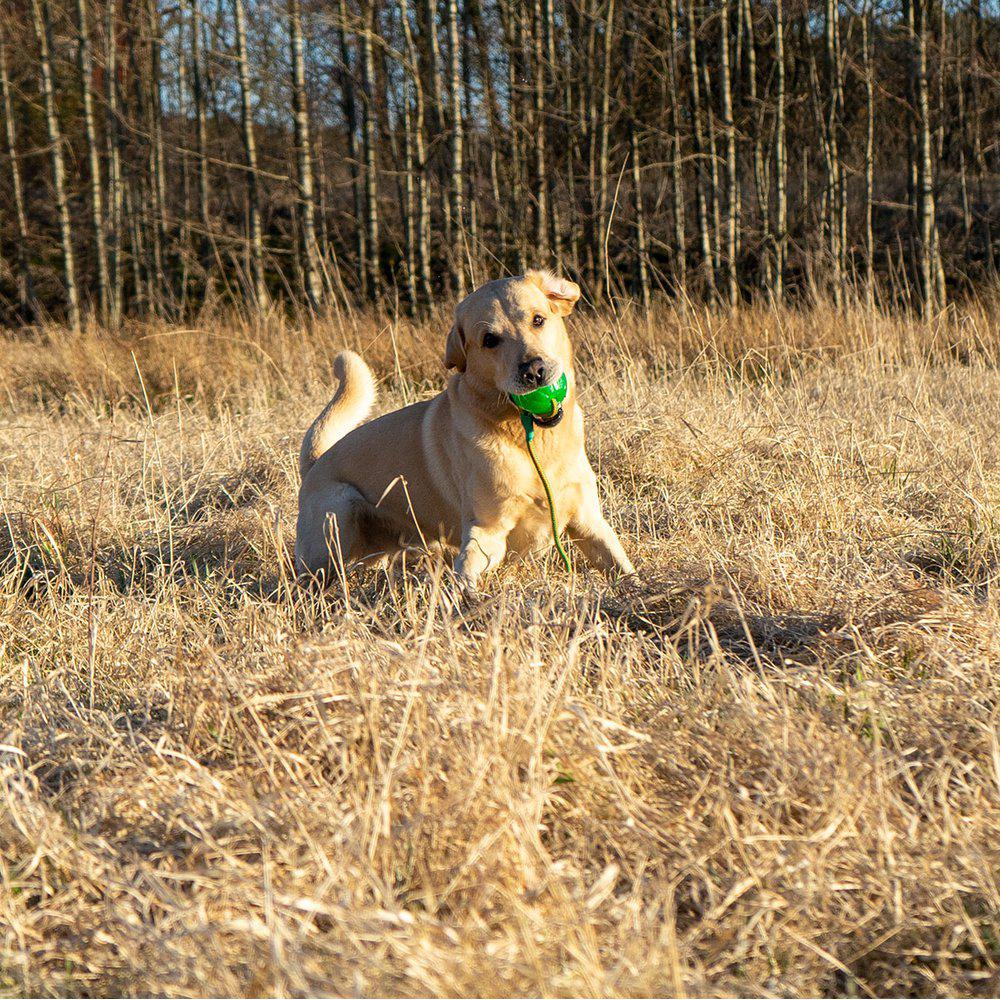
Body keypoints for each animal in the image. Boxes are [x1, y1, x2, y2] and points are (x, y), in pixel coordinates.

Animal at [294, 270, 632, 588]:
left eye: (538, 320)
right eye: (489, 340)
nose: (534, 371)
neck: (530, 441)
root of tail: (316, 461)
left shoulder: (589, 522)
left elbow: (623, 567)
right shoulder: (487, 532)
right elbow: (466, 575)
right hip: (335, 522)